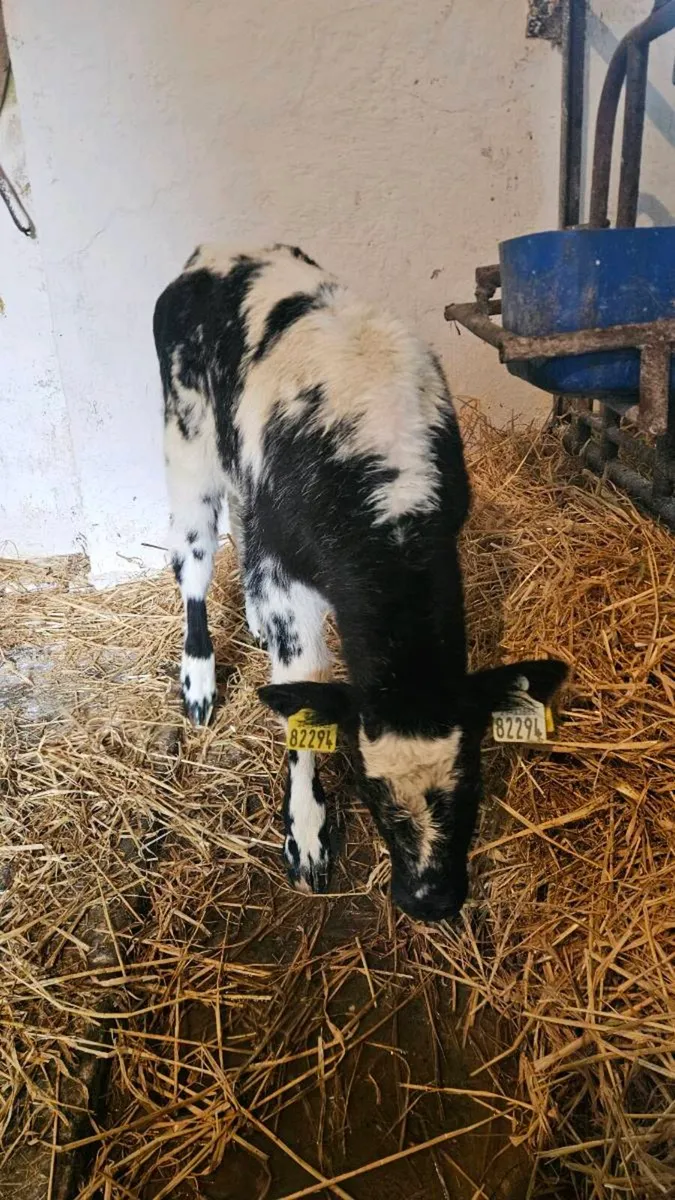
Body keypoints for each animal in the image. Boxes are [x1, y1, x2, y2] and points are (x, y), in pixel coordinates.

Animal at [153, 243, 567, 922]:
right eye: (370, 792)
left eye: (473, 783)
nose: (429, 899)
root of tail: (218, 255)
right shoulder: (287, 574)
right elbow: (303, 688)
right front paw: (306, 830)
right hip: (187, 436)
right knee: (194, 557)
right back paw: (199, 680)